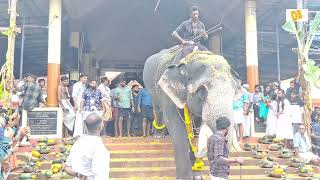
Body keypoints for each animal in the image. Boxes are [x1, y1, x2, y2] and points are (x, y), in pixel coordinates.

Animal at [143, 46, 240, 179]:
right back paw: (158, 135)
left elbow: (196, 134)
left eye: (233, 91)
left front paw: (198, 176)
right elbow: (178, 132)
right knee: (157, 108)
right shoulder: (168, 96)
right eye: (201, 89)